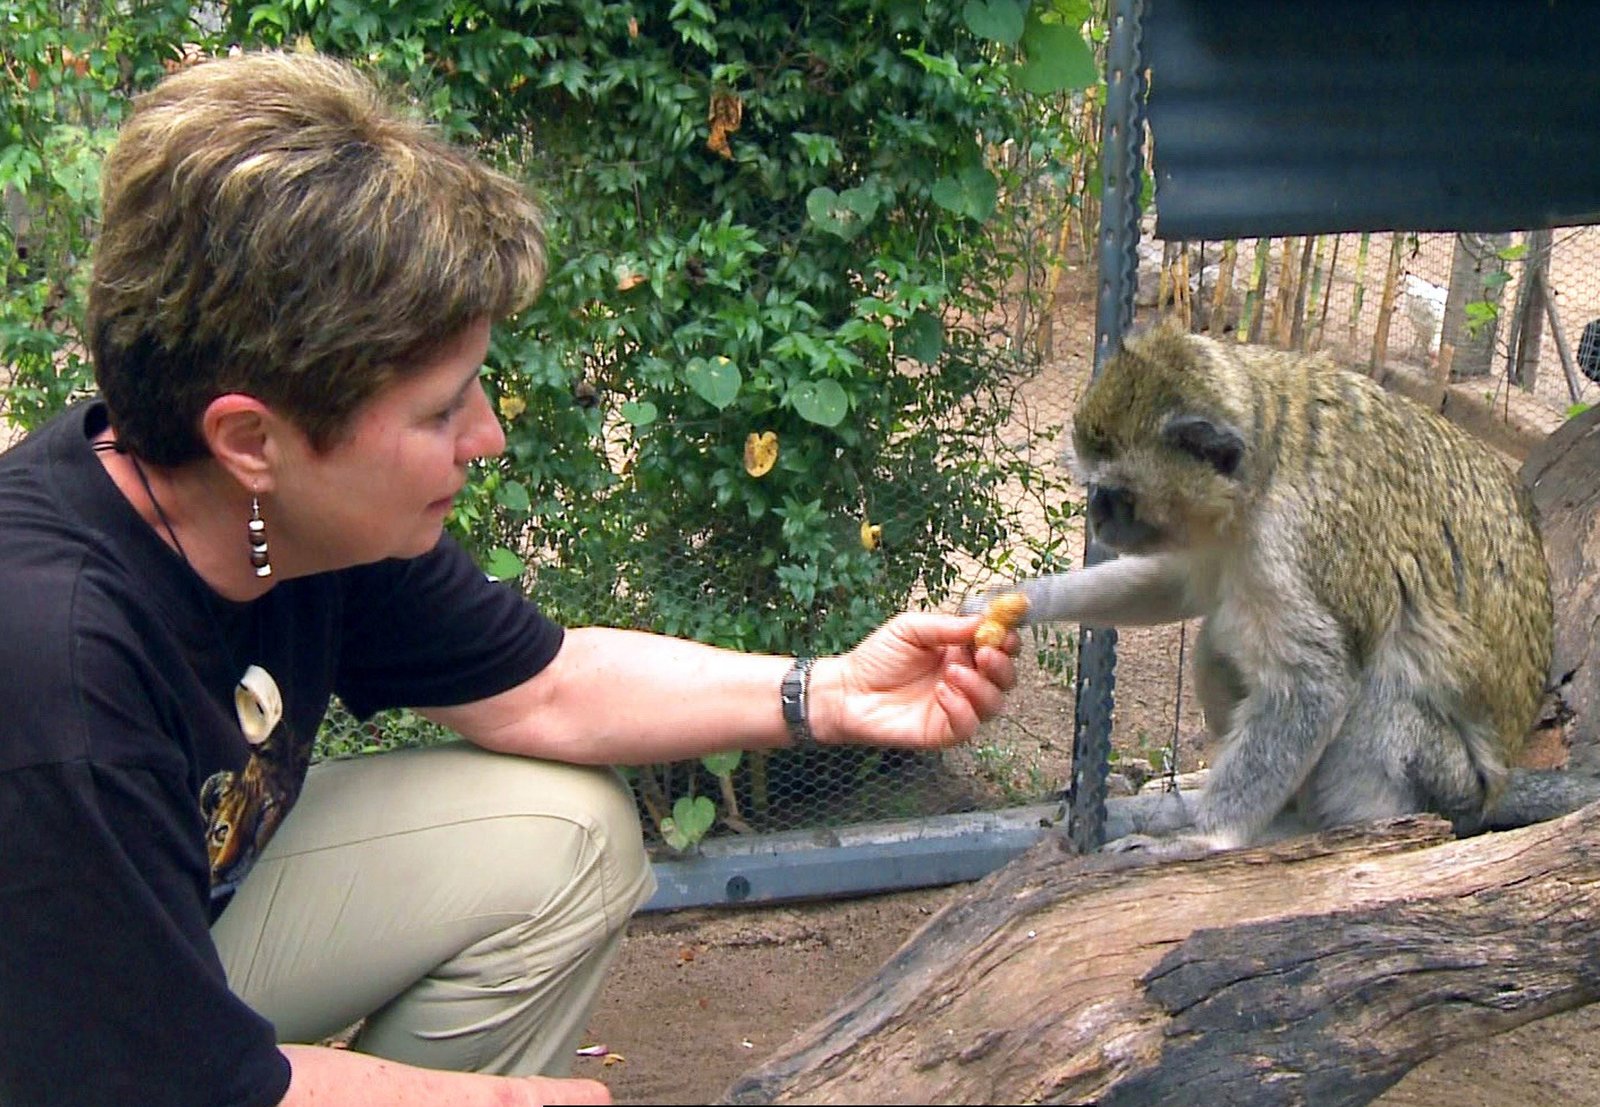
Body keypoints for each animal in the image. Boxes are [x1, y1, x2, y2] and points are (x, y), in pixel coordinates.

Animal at [969, 322, 1558, 851]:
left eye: (1119, 492)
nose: (1097, 517)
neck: (1267, 458)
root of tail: (1492, 791)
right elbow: (1182, 585)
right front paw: (1020, 600)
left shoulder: (1289, 541)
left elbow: (1314, 684)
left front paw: (1205, 840)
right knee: (1216, 645)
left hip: (1449, 783)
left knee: (1379, 698)